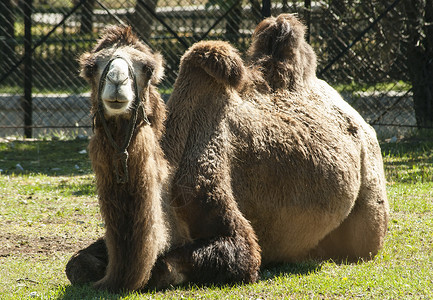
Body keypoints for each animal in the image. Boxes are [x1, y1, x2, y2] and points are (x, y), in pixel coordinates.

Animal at [66, 15, 388, 292]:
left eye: (147, 68)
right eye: (91, 67)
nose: (117, 82)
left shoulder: (224, 213)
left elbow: (168, 266)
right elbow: (76, 265)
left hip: (370, 197)